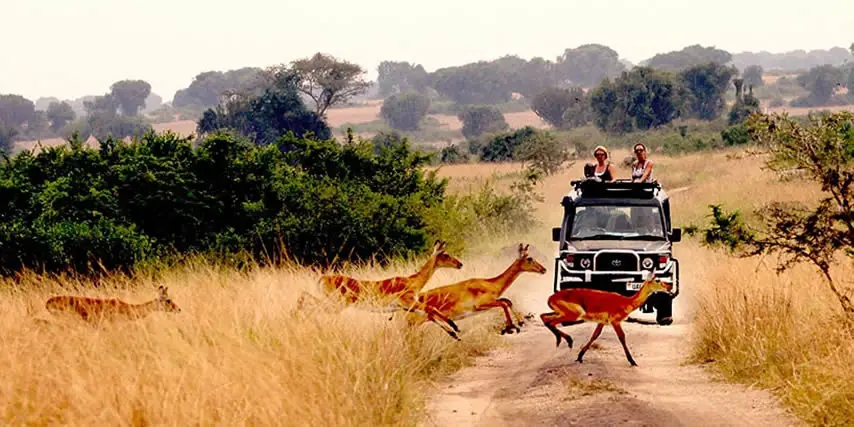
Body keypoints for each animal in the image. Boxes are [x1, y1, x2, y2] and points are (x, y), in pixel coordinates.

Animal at [402, 244, 548, 342]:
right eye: (529, 258)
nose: (544, 269)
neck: (490, 284)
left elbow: (507, 301)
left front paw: (519, 323)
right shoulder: (480, 305)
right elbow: (504, 303)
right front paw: (510, 327)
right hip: (414, 324)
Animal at [540, 274, 676, 368]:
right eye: (657, 280)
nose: (670, 286)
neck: (626, 302)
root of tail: (550, 298)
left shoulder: (602, 322)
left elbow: (595, 335)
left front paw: (579, 357)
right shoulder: (615, 322)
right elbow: (622, 337)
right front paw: (633, 361)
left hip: (561, 313)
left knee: (544, 317)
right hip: (574, 315)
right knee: (550, 322)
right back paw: (568, 340)